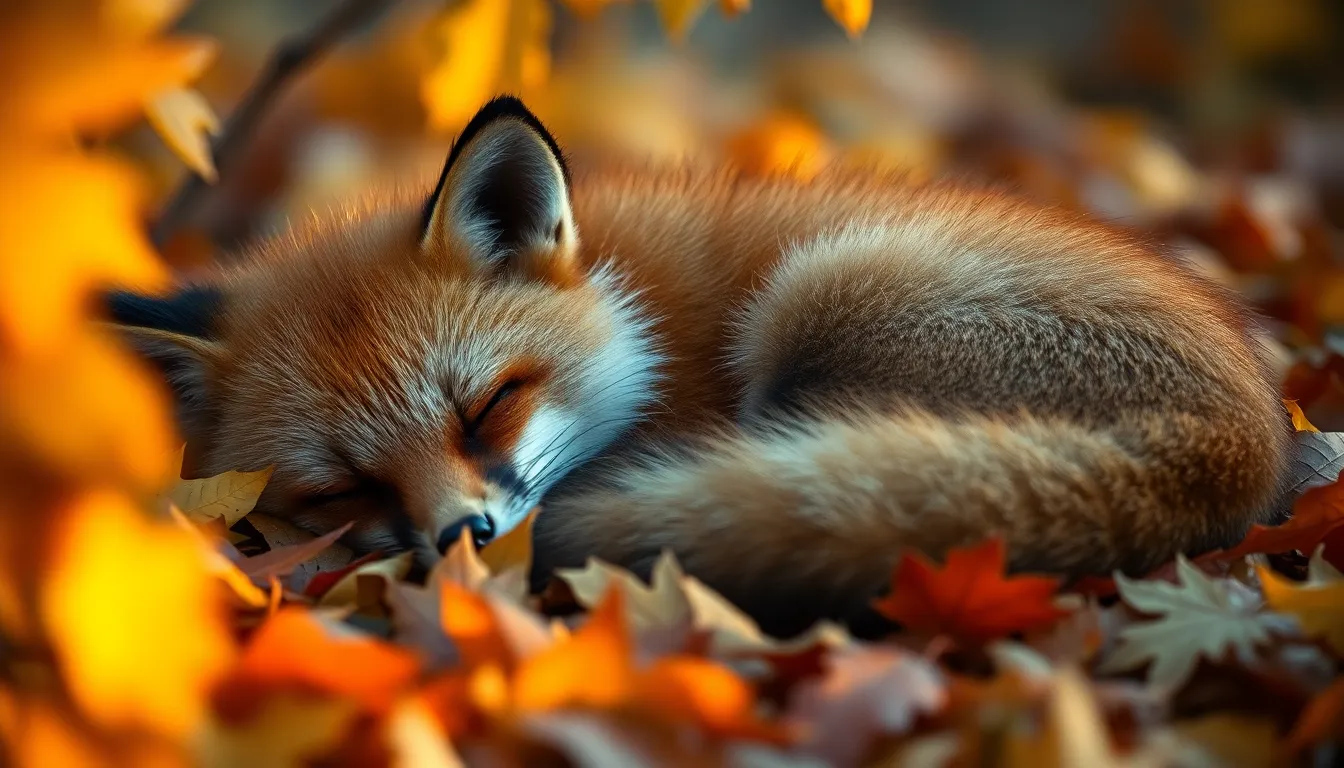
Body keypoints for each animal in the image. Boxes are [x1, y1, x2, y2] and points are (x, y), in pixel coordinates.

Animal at [110, 96, 1293, 635]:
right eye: (344, 488)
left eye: (488, 406)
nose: (463, 540)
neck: (639, 312)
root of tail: (1242, 435)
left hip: (823, 297)